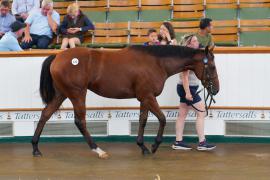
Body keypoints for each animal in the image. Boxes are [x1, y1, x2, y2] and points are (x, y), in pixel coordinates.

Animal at [32, 45, 219, 159]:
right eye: (212, 67)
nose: (216, 89)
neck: (157, 62)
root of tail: (57, 57)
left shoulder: (144, 98)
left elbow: (143, 120)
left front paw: (143, 146)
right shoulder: (148, 97)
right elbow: (162, 119)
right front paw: (154, 146)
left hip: (61, 94)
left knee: (45, 114)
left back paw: (35, 148)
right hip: (77, 94)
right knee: (80, 121)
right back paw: (98, 150)